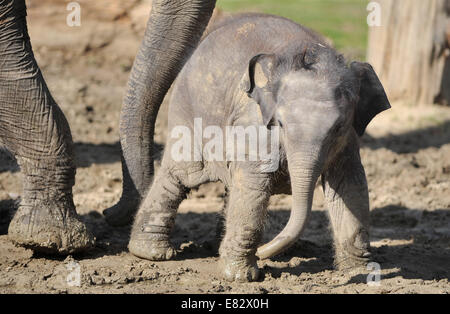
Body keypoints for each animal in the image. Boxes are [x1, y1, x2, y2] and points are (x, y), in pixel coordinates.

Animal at [127, 12, 390, 282]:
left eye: (338, 127)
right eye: (280, 124)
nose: (264, 253)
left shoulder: (348, 141)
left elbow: (350, 185)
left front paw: (360, 273)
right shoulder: (254, 124)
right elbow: (253, 185)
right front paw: (240, 277)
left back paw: (214, 247)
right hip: (186, 111)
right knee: (179, 174)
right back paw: (151, 253)